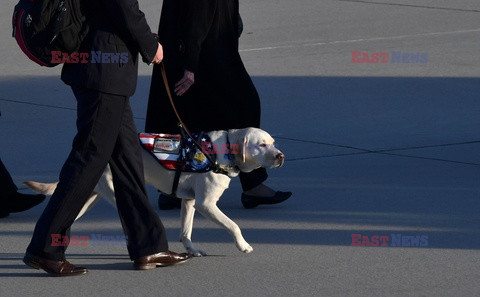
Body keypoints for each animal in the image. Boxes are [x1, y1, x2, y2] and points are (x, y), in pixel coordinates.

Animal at [25, 126, 284, 256]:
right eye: (261, 145)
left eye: (273, 142)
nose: (281, 156)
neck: (224, 150)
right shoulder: (206, 204)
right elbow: (234, 225)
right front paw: (243, 245)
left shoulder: (190, 202)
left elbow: (186, 231)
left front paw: (191, 250)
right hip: (116, 192)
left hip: (88, 197)